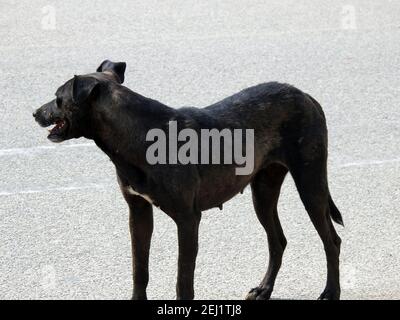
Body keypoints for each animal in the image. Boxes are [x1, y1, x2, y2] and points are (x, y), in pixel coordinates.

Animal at [32, 60, 344, 300]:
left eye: (58, 97)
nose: (35, 112)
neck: (137, 134)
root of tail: (305, 95)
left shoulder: (187, 219)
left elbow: (183, 280)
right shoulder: (138, 212)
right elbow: (139, 269)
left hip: (310, 184)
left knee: (332, 240)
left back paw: (331, 291)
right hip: (264, 192)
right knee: (278, 240)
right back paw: (264, 289)